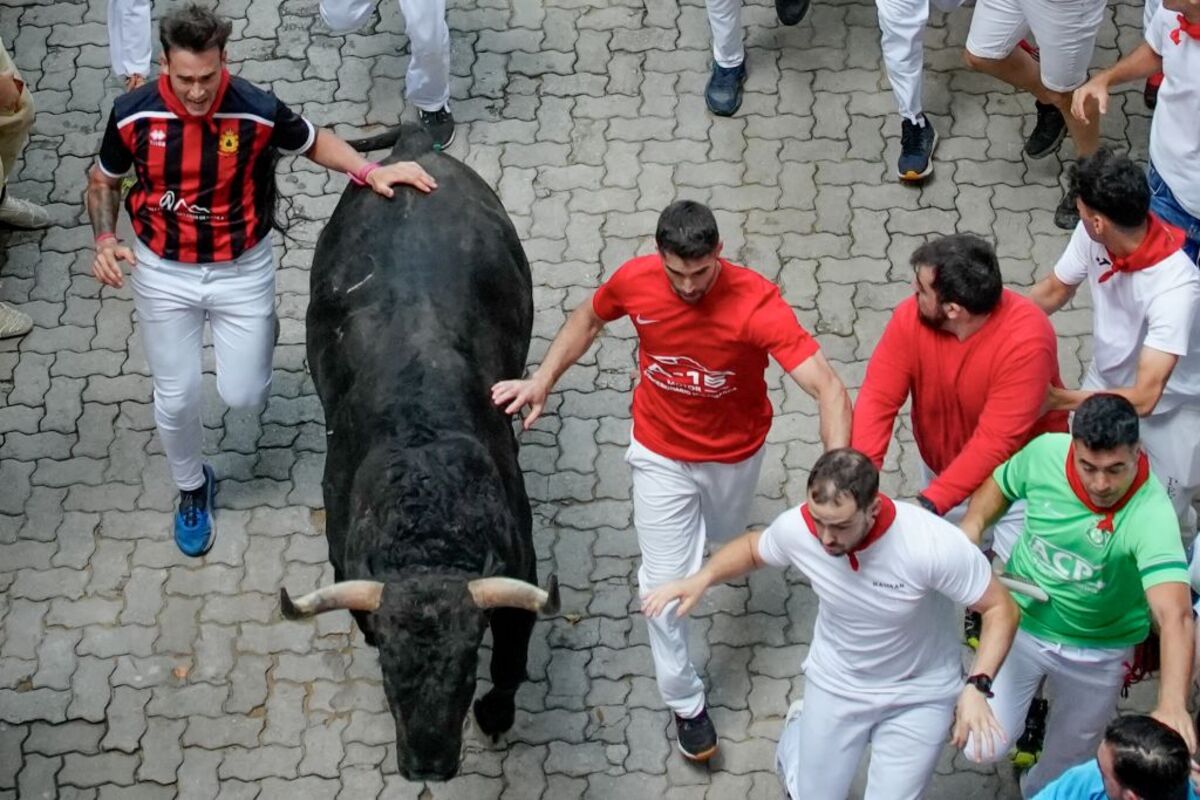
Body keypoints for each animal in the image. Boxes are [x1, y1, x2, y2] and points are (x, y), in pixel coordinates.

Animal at [278, 126, 559, 782]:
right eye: (389, 674)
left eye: (464, 669)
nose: (428, 763)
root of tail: (412, 146)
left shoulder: (520, 577)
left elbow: (511, 662)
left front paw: (496, 715)